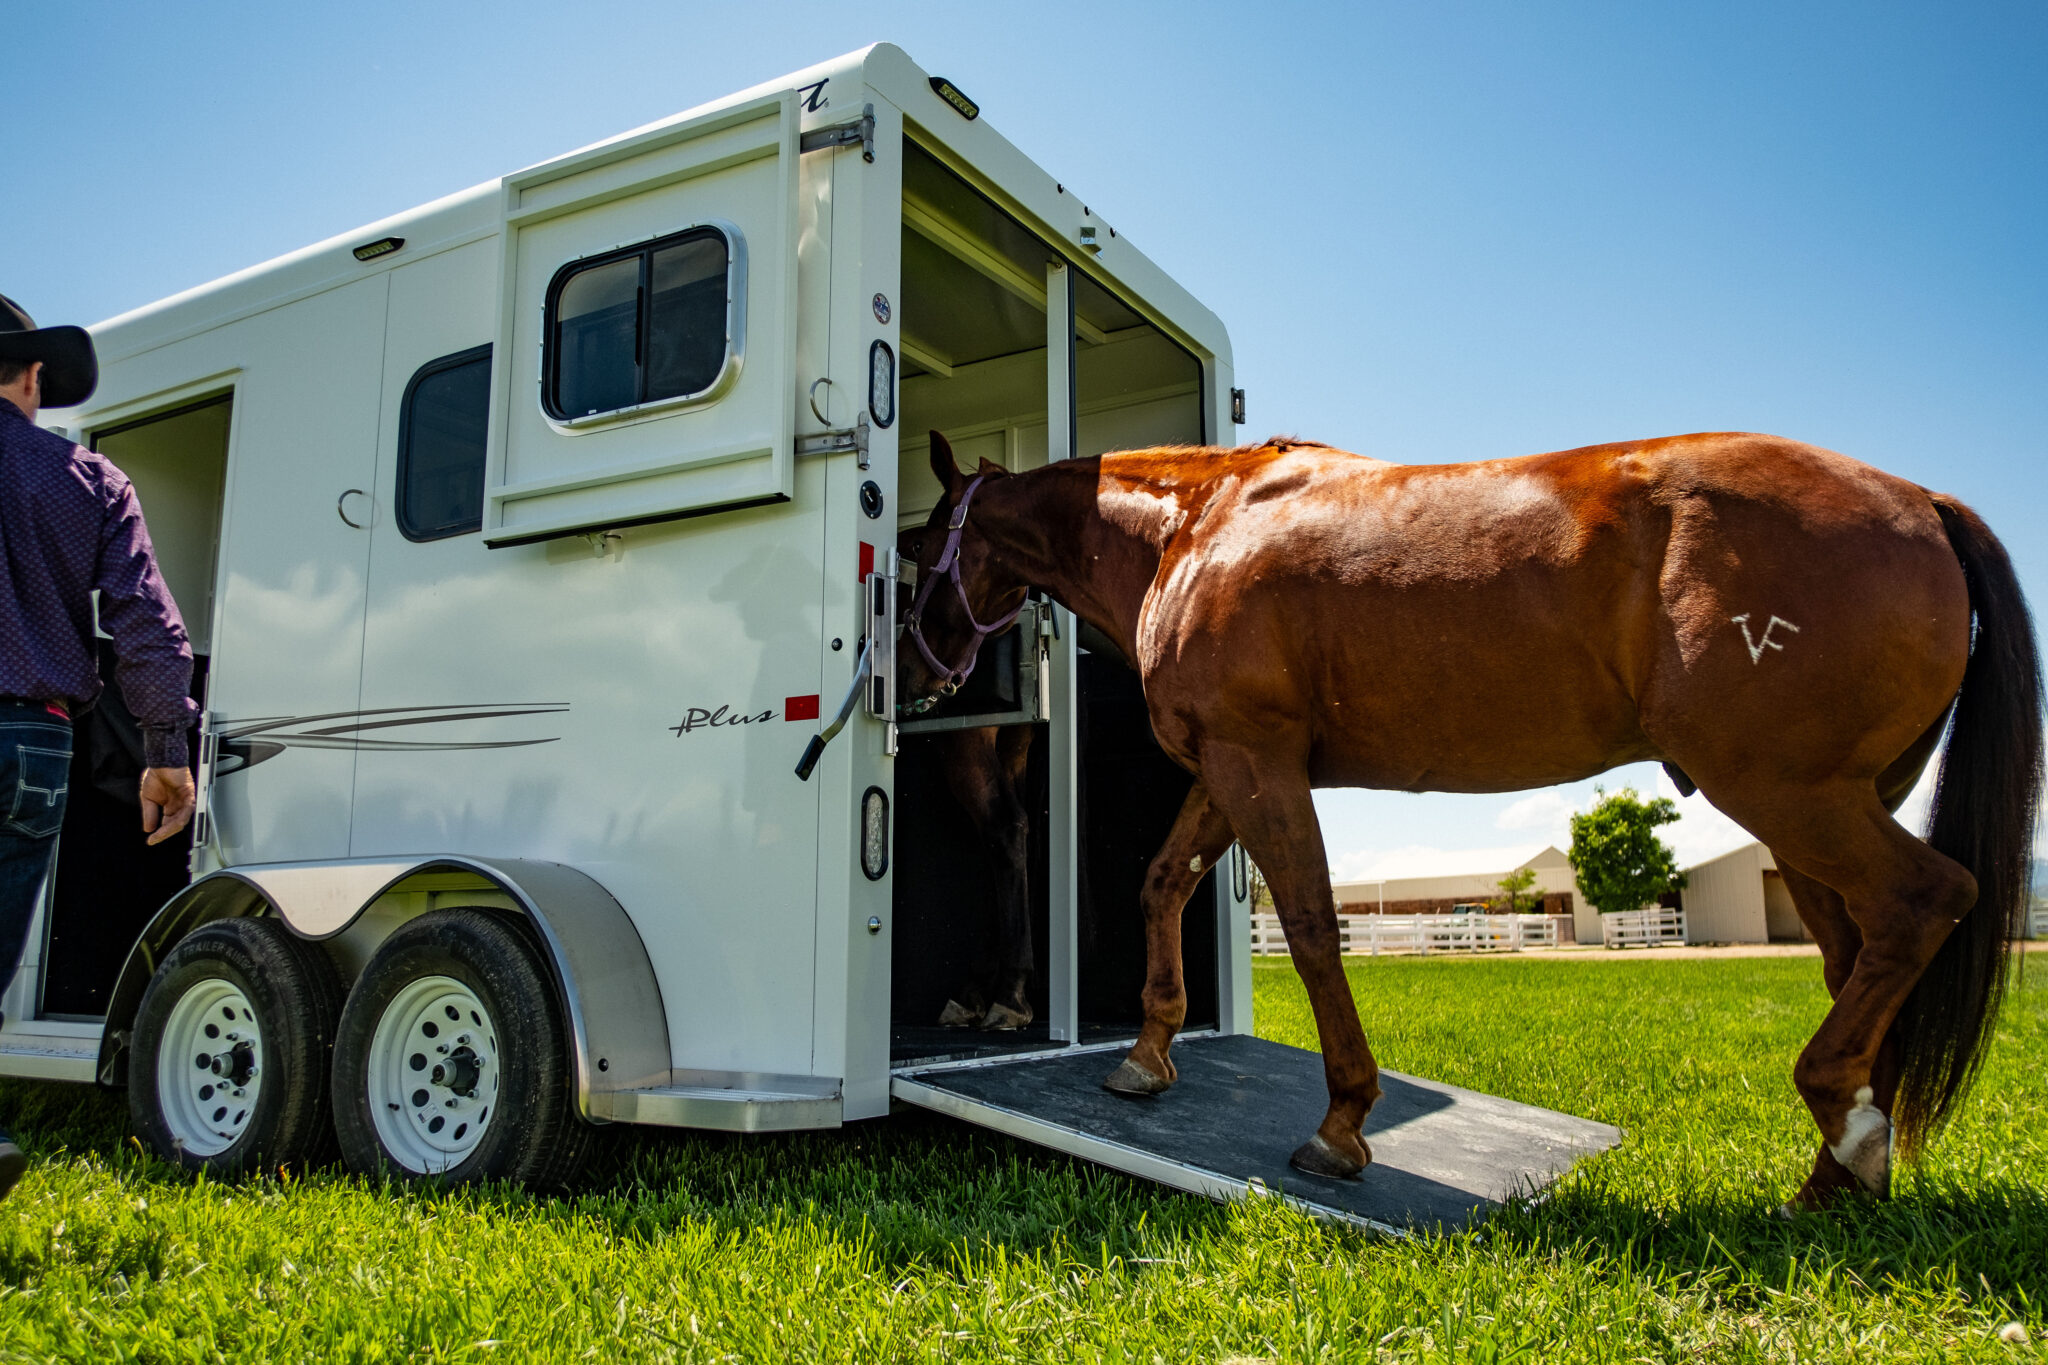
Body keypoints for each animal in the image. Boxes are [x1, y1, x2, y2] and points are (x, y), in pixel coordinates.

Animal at [898, 429, 2041, 1210]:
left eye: (914, 551)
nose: (913, 683)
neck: (1202, 529)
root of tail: (1923, 500)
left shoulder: (1256, 762)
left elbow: (1311, 928)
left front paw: (1340, 1124)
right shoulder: (1223, 769)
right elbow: (1162, 883)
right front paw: (1146, 1056)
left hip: (1788, 793)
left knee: (1923, 900)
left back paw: (1843, 1125)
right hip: (1821, 808)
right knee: (1855, 957)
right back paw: (1830, 1173)